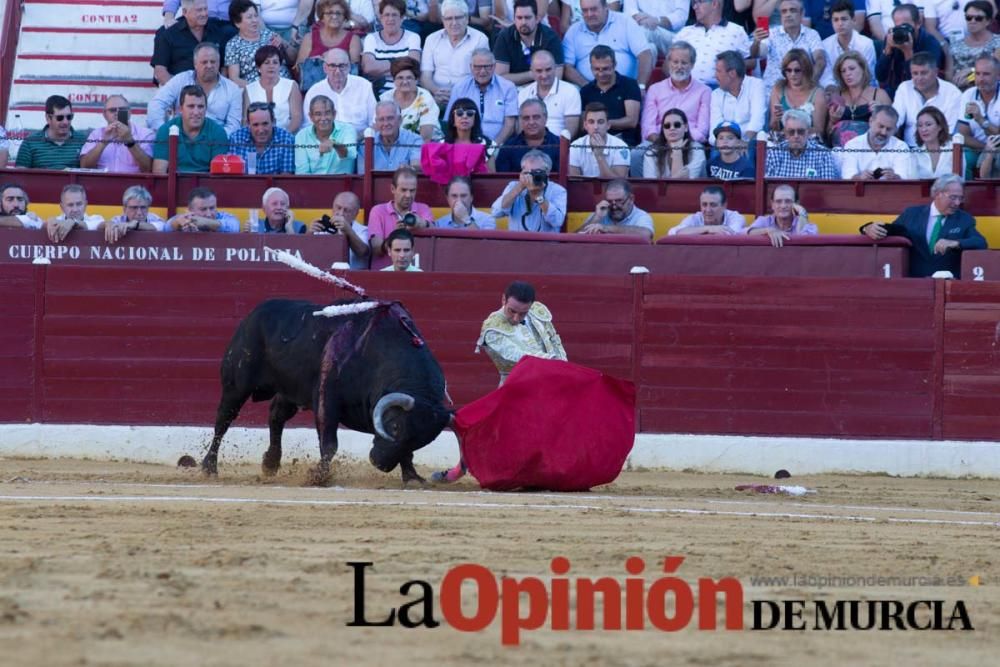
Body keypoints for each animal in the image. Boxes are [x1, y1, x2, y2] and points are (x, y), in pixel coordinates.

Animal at [201, 300, 452, 482]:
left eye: (420, 441)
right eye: (395, 427)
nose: (379, 463)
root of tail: (254, 313)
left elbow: (406, 454)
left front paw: (412, 476)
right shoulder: (327, 398)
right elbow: (329, 442)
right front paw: (318, 476)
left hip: (290, 389)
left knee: (276, 416)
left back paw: (270, 463)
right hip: (236, 385)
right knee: (223, 420)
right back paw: (209, 467)